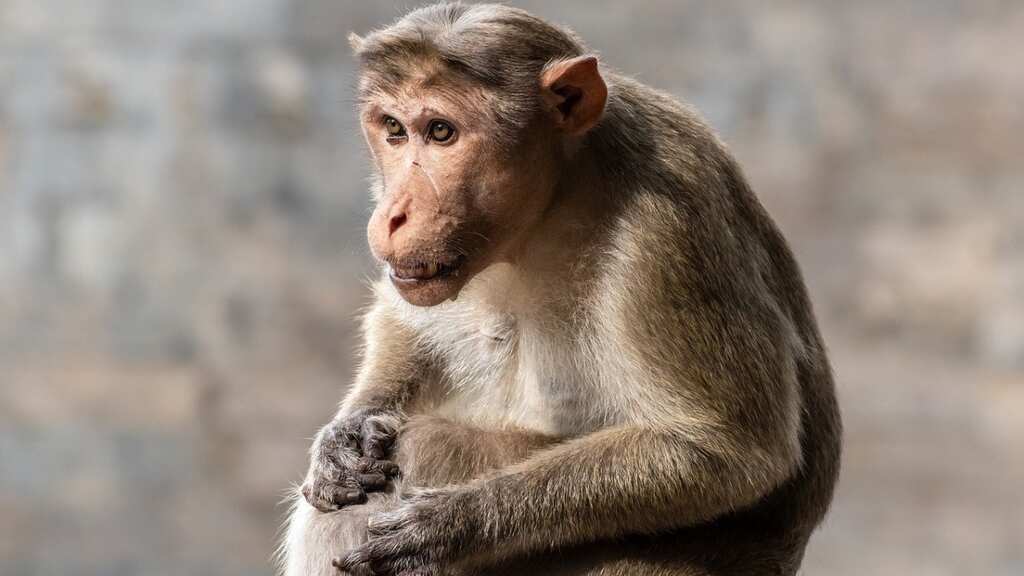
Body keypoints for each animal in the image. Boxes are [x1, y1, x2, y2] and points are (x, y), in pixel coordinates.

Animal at [279, 3, 841, 576]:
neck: (556, 199)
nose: (393, 215)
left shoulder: (670, 231)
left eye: (440, 132)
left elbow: (729, 450)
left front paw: (451, 526)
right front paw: (346, 434)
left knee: (423, 447)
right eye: (393, 129)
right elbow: (405, 324)